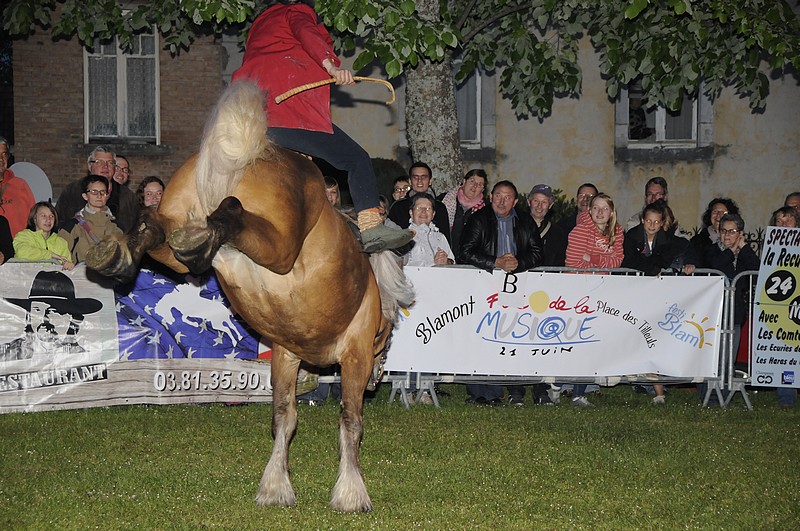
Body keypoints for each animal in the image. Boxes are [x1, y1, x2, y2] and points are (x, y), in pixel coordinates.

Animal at [86, 81, 414, 513]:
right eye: (385, 343)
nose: (379, 379)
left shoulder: (286, 355)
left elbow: (284, 416)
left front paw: (275, 485)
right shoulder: (354, 354)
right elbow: (350, 421)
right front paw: (351, 491)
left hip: (178, 241)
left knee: (159, 228)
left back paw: (129, 251)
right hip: (278, 248)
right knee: (233, 212)